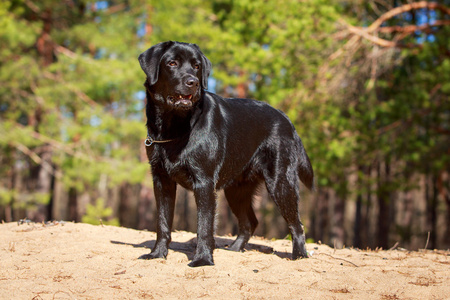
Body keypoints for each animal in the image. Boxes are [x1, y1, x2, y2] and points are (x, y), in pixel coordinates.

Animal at [137, 40, 312, 268]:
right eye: (172, 63)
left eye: (196, 66)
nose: (193, 82)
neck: (174, 128)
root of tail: (287, 120)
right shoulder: (161, 180)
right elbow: (163, 222)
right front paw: (157, 254)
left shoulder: (204, 182)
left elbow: (204, 225)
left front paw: (203, 259)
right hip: (236, 190)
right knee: (250, 222)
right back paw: (235, 250)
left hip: (280, 183)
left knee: (296, 224)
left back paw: (299, 256)